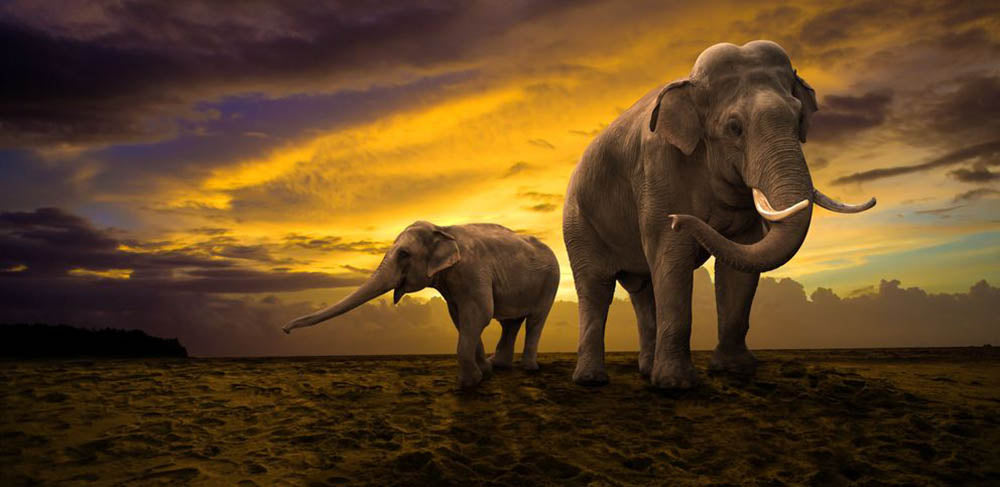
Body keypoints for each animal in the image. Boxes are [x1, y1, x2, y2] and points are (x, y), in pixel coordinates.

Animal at [282, 221, 560, 388]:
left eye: (404, 254)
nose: (285, 329)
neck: (444, 228)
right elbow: (459, 318)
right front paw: (485, 373)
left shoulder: (473, 272)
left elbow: (479, 315)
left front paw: (469, 384)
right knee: (510, 323)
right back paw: (499, 366)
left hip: (551, 281)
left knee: (535, 320)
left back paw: (529, 368)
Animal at [562, 40, 875, 389]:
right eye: (734, 128)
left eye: (798, 119)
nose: (678, 219)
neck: (690, 83)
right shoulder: (658, 171)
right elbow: (672, 257)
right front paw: (676, 385)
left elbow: (741, 261)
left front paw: (734, 369)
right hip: (578, 223)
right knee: (595, 287)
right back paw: (591, 380)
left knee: (642, 290)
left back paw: (644, 371)